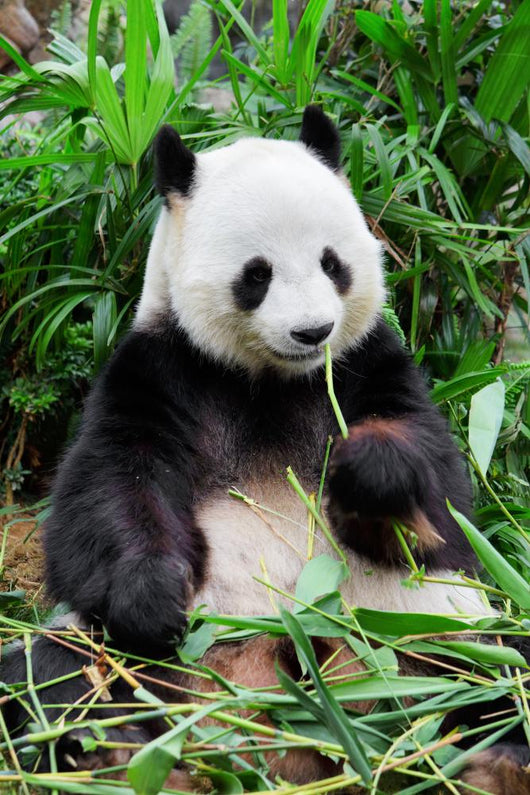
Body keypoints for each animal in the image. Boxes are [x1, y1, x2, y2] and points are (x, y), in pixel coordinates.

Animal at [1, 106, 529, 794]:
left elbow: (440, 506)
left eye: (332, 263)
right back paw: (110, 752)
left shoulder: (368, 362)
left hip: (428, 633)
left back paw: (493, 759)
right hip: (154, 662)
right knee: (54, 675)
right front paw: (153, 596)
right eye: (257, 274)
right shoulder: (161, 369)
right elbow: (110, 488)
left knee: (493, 672)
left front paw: (372, 471)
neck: (272, 380)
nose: (313, 331)